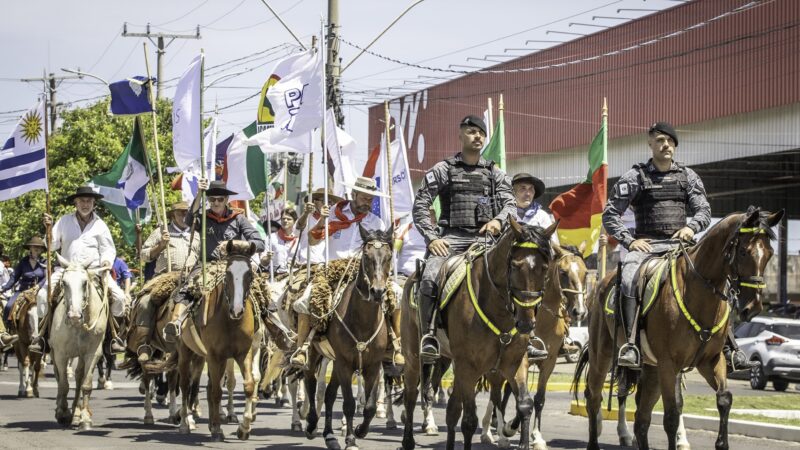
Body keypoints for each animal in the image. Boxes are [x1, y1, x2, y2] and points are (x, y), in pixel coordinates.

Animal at [50, 255, 111, 430]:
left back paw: (76, 413)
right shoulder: (61, 354)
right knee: (59, 377)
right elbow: (63, 384)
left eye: (85, 283)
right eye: (64, 283)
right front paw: (62, 413)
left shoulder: (92, 353)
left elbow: (86, 384)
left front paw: (85, 419)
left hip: (82, 355)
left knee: (78, 377)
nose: (75, 316)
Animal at [304, 225, 394, 450]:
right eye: (366, 256)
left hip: (336, 362)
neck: (362, 321)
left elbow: (369, 406)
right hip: (315, 353)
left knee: (328, 395)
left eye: (389, 256)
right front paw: (351, 439)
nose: (377, 291)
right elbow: (349, 403)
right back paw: (311, 424)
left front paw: (361, 431)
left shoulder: (373, 365)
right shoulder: (345, 364)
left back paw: (329, 436)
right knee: (310, 382)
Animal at [400, 216, 556, 448]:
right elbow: (469, 421)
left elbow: (524, 405)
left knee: (452, 410)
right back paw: (408, 440)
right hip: (414, 357)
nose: (526, 323)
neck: (498, 308)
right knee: (411, 396)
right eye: (515, 266)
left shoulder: (515, 363)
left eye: (545, 268)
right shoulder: (468, 366)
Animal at [576, 208, 780, 450]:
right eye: (743, 252)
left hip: (651, 369)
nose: (753, 307)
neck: (698, 293)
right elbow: (672, 415)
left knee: (642, 418)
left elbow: (724, 398)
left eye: (769, 253)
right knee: (594, 396)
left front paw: (721, 443)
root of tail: (599, 284)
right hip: (603, 356)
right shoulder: (669, 364)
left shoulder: (711, 360)